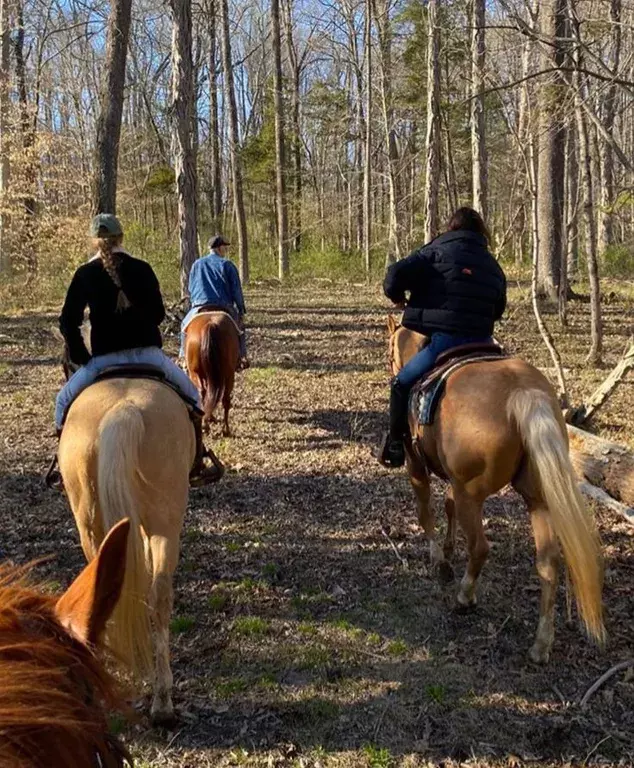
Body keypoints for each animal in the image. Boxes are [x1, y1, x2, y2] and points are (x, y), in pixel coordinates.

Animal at [185, 308, 242, 436]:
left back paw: (207, 425)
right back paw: (224, 429)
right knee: (224, 399)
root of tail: (210, 324)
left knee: (203, 393)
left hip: (196, 373)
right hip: (229, 375)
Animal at [386, 316, 604, 664]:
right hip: (537, 499)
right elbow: (447, 506)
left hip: (472, 494)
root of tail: (523, 393)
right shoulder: (453, 479)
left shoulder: (416, 464)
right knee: (548, 563)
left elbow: (425, 512)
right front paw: (448, 548)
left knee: (480, 548)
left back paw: (464, 597)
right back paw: (541, 644)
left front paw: (439, 560)